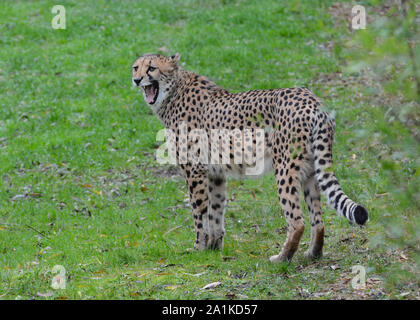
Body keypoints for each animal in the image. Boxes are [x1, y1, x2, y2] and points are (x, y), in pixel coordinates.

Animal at [132, 53, 368, 262]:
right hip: (311, 169)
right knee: (318, 220)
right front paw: (214, 248)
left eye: (151, 68)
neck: (172, 91)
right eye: (136, 67)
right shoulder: (215, 173)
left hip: (285, 168)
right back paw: (313, 254)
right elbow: (216, 211)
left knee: (297, 221)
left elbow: (199, 213)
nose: (136, 79)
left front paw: (199, 248)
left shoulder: (194, 170)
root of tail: (312, 100)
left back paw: (281, 258)